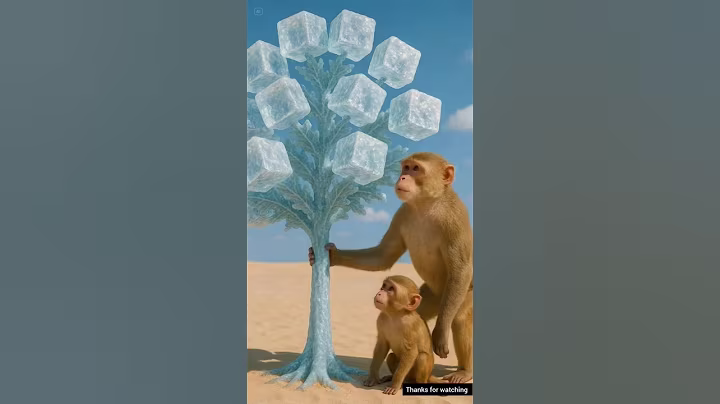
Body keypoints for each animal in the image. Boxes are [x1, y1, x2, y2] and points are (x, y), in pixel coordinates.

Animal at [309, 152, 473, 383]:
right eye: (405, 168)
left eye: (416, 169)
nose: (402, 177)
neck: (427, 204)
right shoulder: (401, 213)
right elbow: (383, 256)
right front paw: (333, 256)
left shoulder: (455, 217)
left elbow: (461, 269)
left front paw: (440, 333)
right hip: (429, 296)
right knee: (417, 314)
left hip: (460, 294)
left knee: (458, 318)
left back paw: (464, 370)